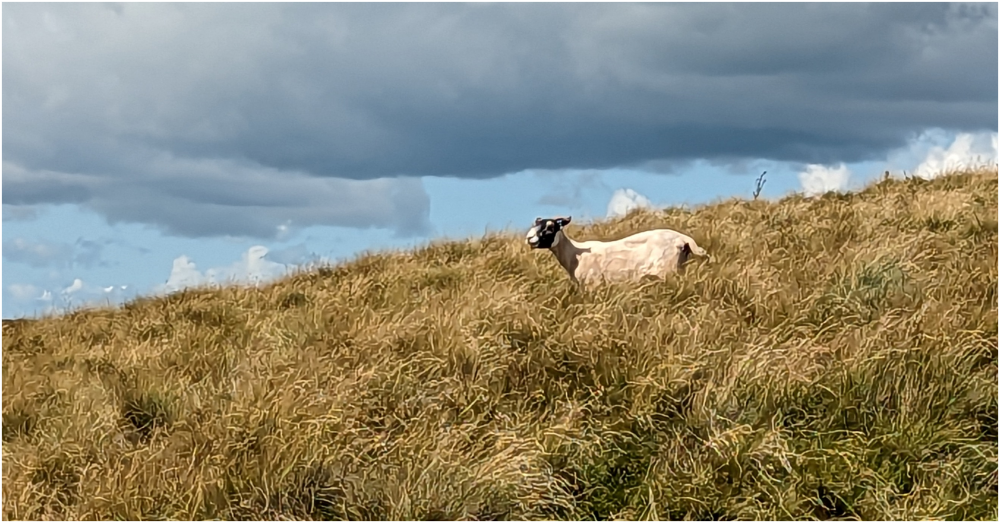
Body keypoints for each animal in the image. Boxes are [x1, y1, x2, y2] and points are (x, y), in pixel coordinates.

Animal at [528, 215, 708, 284]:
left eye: (550, 227)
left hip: (667, 270)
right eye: (535, 224)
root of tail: (683, 238)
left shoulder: (593, 283)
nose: (529, 238)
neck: (574, 254)